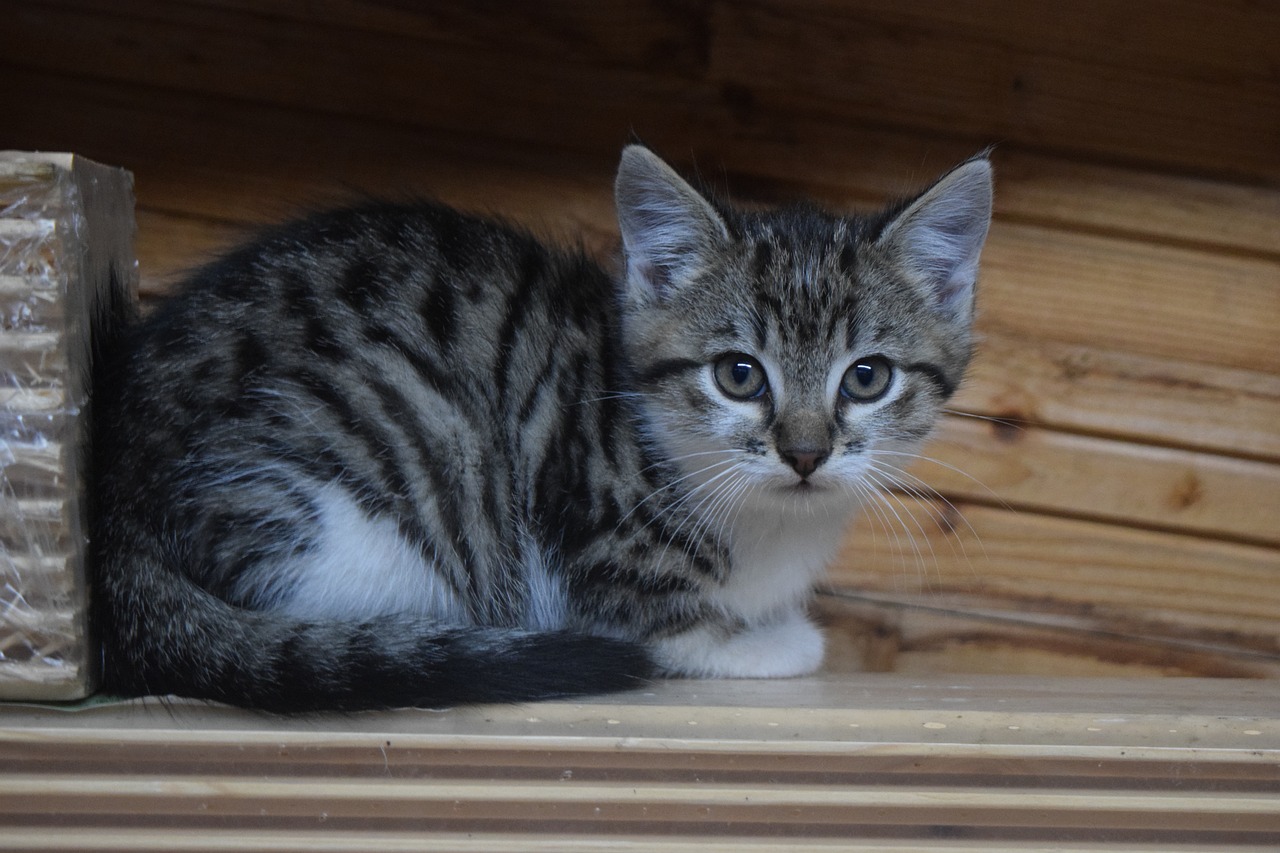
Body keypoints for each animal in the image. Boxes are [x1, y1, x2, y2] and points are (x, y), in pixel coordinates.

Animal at [92, 147, 988, 712]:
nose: (805, 452)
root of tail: (112, 506)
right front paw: (766, 642)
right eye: (739, 374)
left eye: (866, 377)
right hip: (389, 460)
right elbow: (655, 625)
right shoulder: (583, 529)